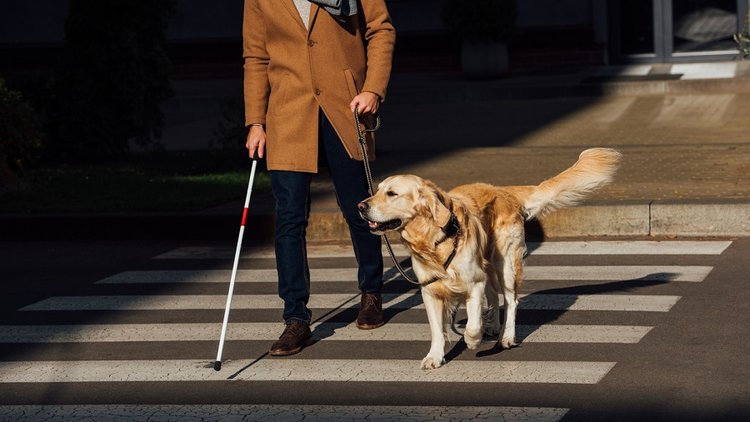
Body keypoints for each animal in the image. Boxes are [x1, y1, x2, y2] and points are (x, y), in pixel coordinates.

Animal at [358, 148, 624, 370]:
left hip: (505, 263)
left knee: (511, 300)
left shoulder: (473, 283)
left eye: (391, 193)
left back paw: (505, 336)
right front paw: (434, 356)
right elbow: (436, 328)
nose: (360, 206)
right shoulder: (430, 290)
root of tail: (503, 191)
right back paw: (493, 326)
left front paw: (472, 340)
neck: (435, 240)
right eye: (377, 190)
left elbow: (472, 324)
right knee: (495, 296)